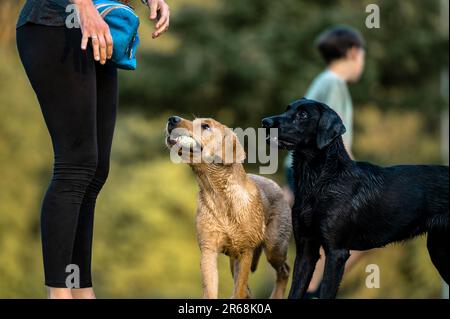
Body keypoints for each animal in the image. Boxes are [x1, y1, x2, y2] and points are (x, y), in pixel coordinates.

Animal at [165, 117, 292, 300]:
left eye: (205, 126)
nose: (172, 119)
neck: (219, 193)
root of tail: (278, 187)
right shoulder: (208, 250)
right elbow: (211, 289)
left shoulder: (246, 251)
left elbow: (240, 288)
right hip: (236, 257)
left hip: (274, 247)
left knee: (284, 270)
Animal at [262, 98, 448, 300]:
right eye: (287, 109)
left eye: (303, 115)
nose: (265, 122)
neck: (319, 180)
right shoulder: (306, 249)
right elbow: (295, 291)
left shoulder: (336, 252)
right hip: (438, 249)